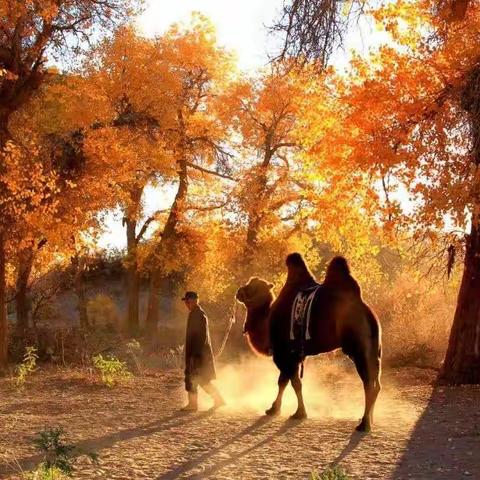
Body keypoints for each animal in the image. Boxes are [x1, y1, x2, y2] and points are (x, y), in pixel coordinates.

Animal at [236, 253, 382, 434]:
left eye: (253, 287)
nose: (238, 292)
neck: (267, 321)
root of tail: (367, 312)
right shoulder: (295, 355)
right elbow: (285, 381)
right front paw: (274, 409)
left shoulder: (284, 352)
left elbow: (291, 382)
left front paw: (297, 413)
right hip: (375, 349)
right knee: (377, 382)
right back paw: (369, 419)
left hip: (358, 347)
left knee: (368, 383)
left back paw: (364, 424)